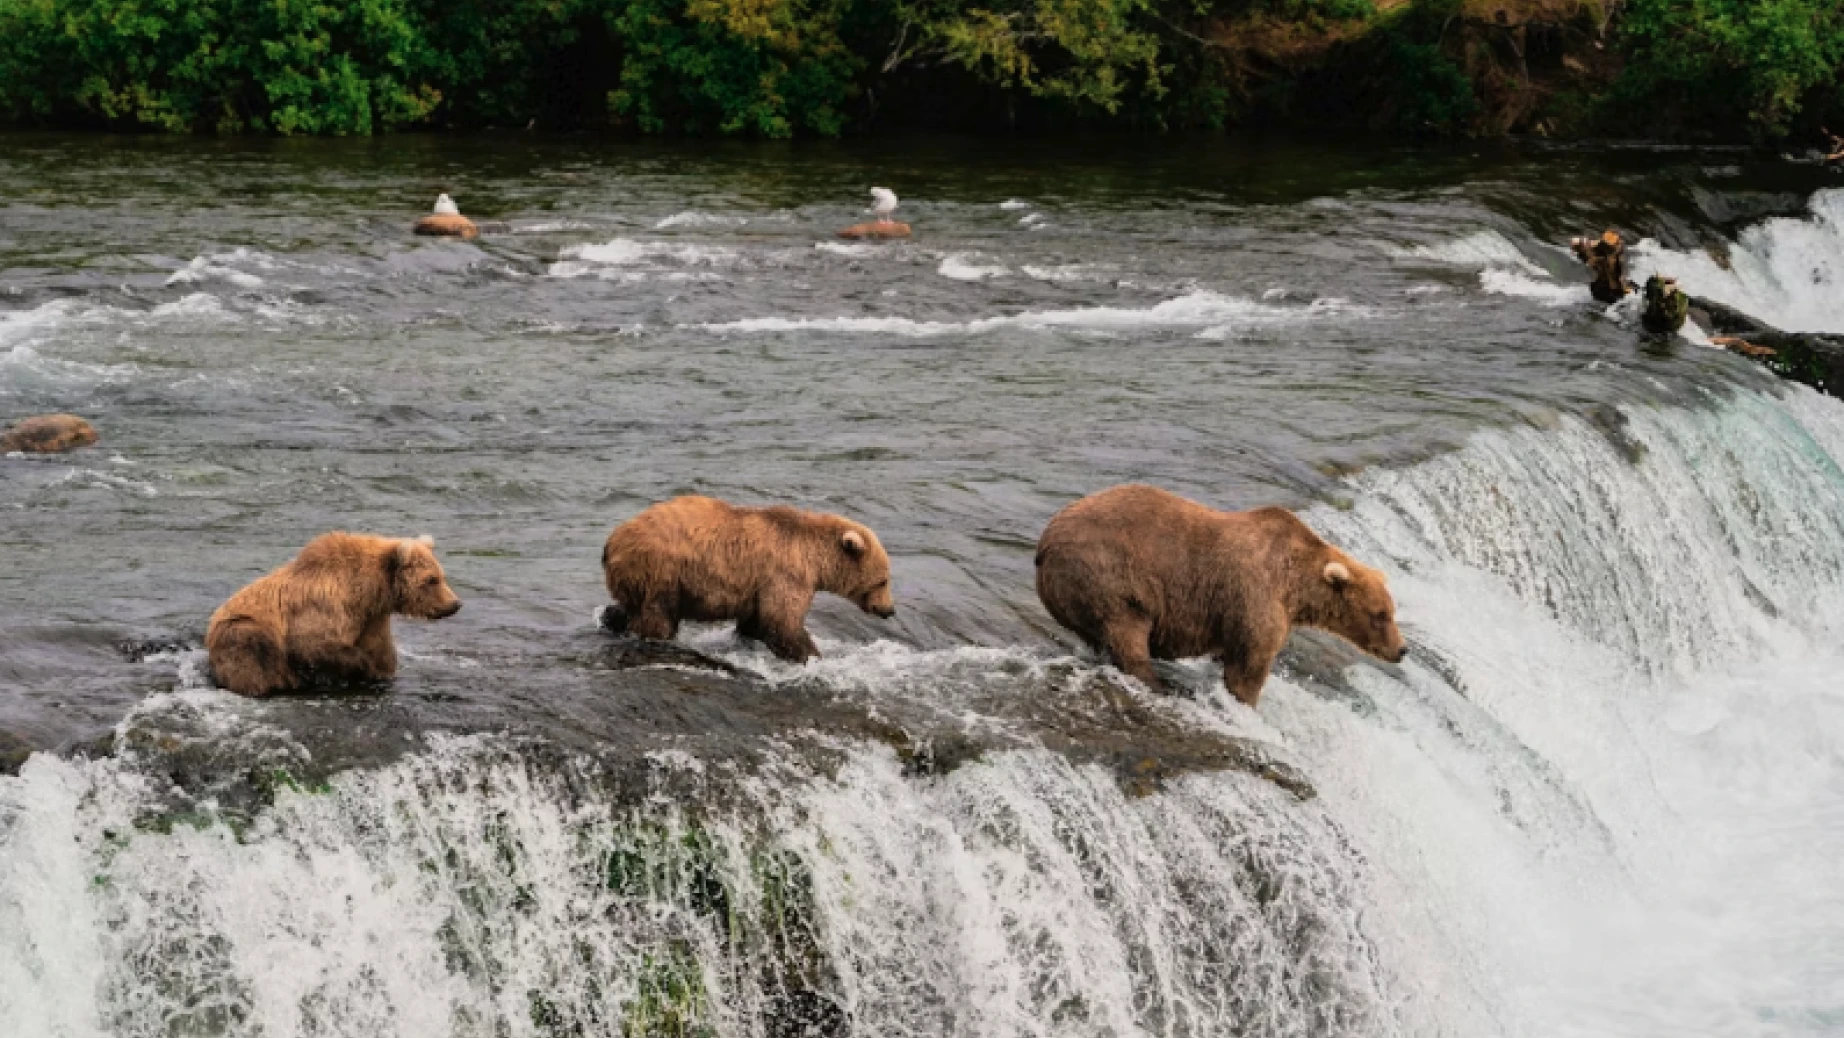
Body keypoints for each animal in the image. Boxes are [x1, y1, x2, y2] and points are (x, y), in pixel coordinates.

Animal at [206, 532, 462, 697]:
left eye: (441, 575)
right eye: (431, 580)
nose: (455, 603)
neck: (368, 591)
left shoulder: (372, 618)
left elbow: (382, 653)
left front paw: (380, 672)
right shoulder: (325, 605)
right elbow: (312, 642)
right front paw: (363, 667)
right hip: (240, 629)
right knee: (254, 649)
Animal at [600, 495, 895, 663]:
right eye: (883, 580)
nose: (889, 610)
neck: (814, 558)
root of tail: (613, 540)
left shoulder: (759, 586)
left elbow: (757, 621)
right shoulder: (785, 574)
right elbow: (782, 621)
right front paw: (812, 656)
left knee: (630, 607)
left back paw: (611, 619)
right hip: (662, 571)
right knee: (658, 616)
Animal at [1034, 484, 1406, 706]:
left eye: (1391, 611)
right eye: (1380, 615)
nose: (1402, 650)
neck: (1295, 587)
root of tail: (1044, 544)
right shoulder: (1256, 595)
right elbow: (1249, 665)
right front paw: (1246, 702)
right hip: (1109, 576)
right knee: (1127, 631)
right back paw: (1158, 683)